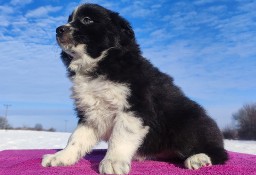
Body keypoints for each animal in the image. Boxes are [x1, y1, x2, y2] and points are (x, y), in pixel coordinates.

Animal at [42, 3, 228, 174]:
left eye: (87, 20)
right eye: (69, 20)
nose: (59, 29)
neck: (101, 63)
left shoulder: (134, 107)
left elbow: (120, 136)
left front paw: (113, 162)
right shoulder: (90, 112)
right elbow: (76, 138)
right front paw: (60, 157)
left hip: (189, 122)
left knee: (220, 153)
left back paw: (199, 158)